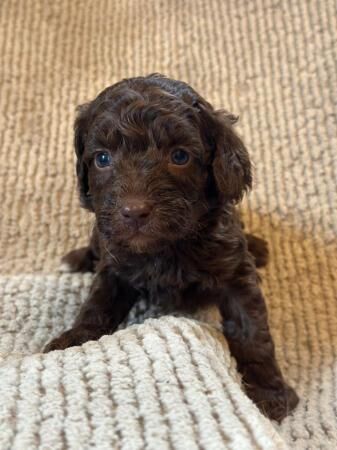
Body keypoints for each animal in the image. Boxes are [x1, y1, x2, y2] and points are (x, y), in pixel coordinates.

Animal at [44, 74, 296, 422]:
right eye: (102, 158)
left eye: (179, 157)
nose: (134, 211)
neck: (167, 248)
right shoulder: (115, 265)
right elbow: (97, 304)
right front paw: (74, 339)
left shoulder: (234, 272)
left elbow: (252, 330)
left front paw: (269, 391)